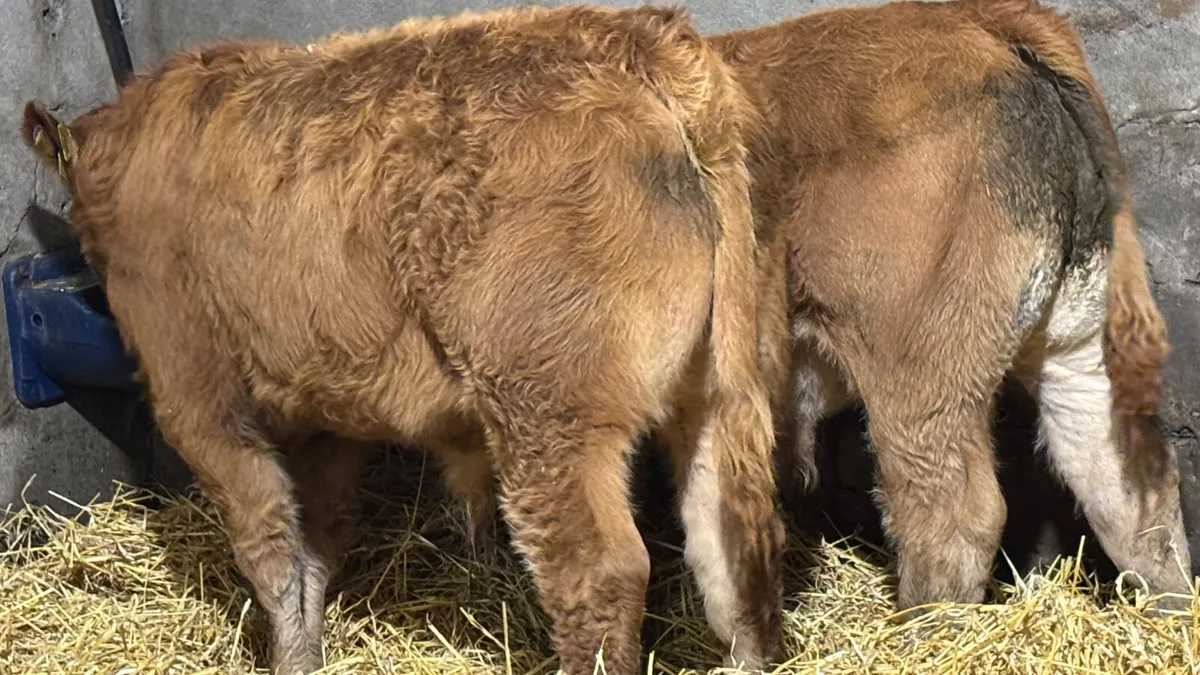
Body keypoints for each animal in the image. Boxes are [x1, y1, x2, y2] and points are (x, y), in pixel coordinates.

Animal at [18, 5, 790, 674]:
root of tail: (638, 38)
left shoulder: (198, 400)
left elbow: (270, 550)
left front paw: (289, 658)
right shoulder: (320, 414)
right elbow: (316, 542)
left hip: (550, 410)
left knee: (600, 572)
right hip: (718, 388)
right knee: (730, 538)